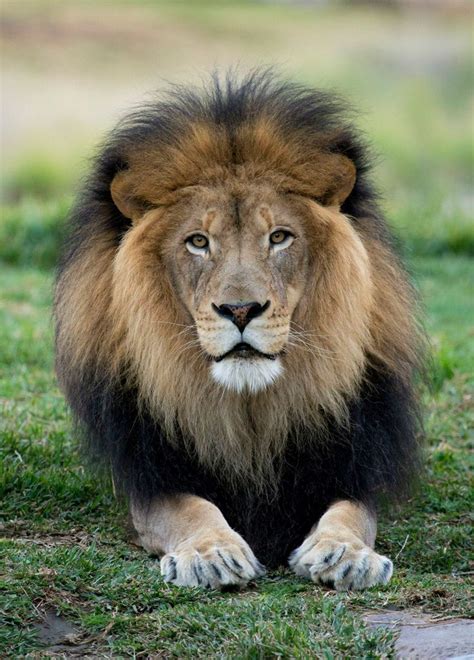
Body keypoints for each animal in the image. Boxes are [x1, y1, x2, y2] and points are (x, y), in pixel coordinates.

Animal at [54, 73, 422, 592]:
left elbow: (352, 512)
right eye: (198, 242)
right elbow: (190, 509)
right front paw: (212, 553)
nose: (241, 310)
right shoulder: (153, 475)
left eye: (280, 237)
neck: (249, 410)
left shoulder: (351, 460)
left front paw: (347, 554)